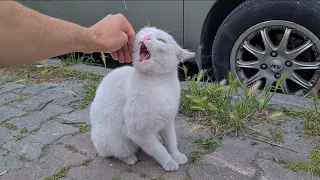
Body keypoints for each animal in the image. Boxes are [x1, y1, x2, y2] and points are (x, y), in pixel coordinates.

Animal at [90, 26, 195, 171]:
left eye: (161, 40)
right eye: (146, 31)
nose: (146, 37)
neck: (158, 83)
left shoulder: (168, 123)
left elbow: (172, 141)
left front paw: (177, 156)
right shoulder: (138, 132)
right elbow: (159, 150)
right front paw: (169, 162)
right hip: (116, 142)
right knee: (116, 153)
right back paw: (129, 158)